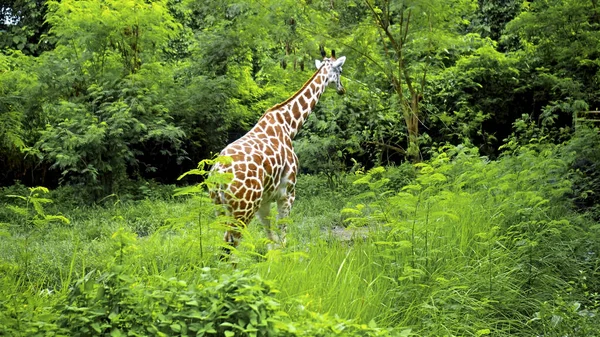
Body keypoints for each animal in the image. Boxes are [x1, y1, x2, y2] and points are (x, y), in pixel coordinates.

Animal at [210, 49, 346, 255]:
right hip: (243, 208)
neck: (288, 126)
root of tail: (217, 174)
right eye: (340, 71)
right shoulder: (288, 192)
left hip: (221, 208)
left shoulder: (265, 200)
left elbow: (270, 238)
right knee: (229, 245)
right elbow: (282, 234)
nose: (342, 90)